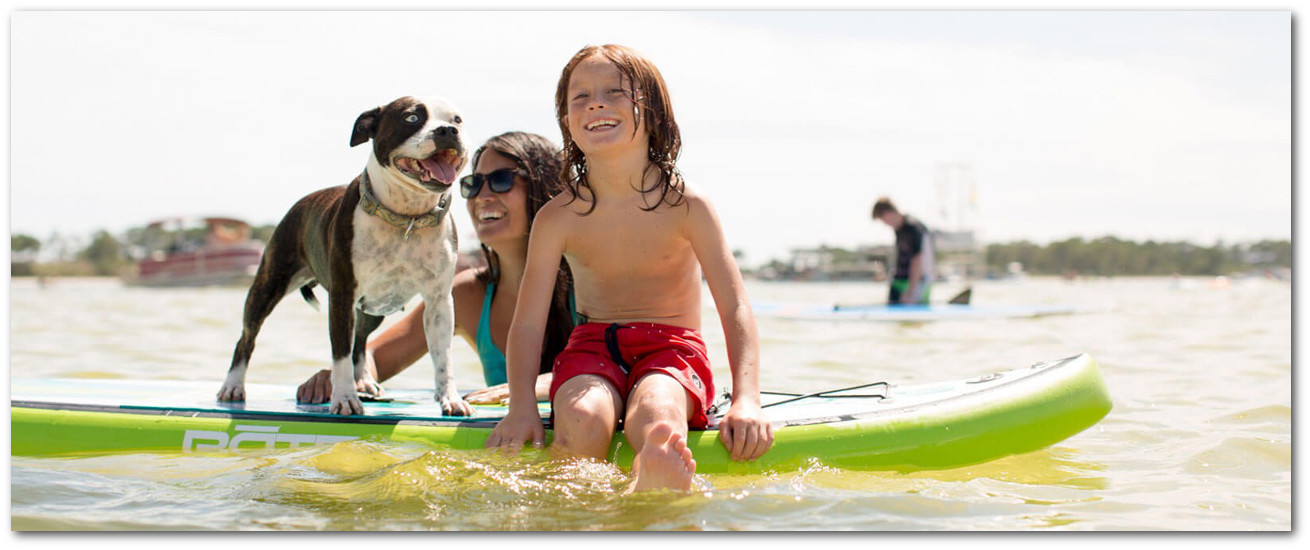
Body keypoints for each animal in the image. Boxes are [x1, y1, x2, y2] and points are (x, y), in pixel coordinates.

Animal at [217, 94, 474, 413]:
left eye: (457, 120)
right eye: (412, 118)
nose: (448, 131)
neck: (406, 217)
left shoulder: (439, 302)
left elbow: (443, 356)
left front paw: (450, 398)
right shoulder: (342, 295)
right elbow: (339, 353)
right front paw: (344, 398)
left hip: (372, 309)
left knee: (360, 340)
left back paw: (363, 380)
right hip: (268, 285)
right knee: (247, 337)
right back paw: (233, 385)